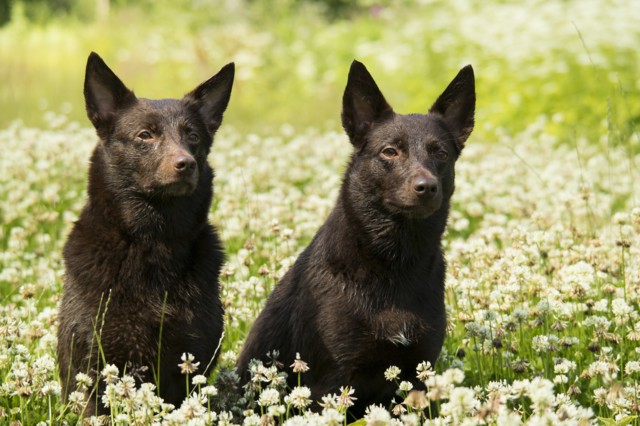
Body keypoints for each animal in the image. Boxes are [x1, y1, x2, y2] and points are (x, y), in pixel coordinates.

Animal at [56, 51, 234, 414]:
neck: (153, 240)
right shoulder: (91, 365)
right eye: (144, 136)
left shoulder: (190, 361)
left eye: (193, 136)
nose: (186, 164)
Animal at [238, 60, 472, 416]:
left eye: (441, 153)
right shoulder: (334, 380)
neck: (394, 261)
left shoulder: (419, 370)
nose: (426, 187)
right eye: (390, 151)